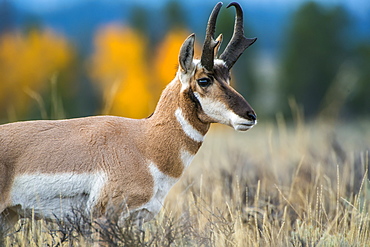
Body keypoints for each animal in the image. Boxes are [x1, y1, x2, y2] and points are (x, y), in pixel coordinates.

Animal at [0, 0, 258, 237]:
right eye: (204, 80)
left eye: (228, 77)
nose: (251, 116)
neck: (145, 142)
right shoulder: (104, 218)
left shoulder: (136, 219)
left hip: (8, 217)